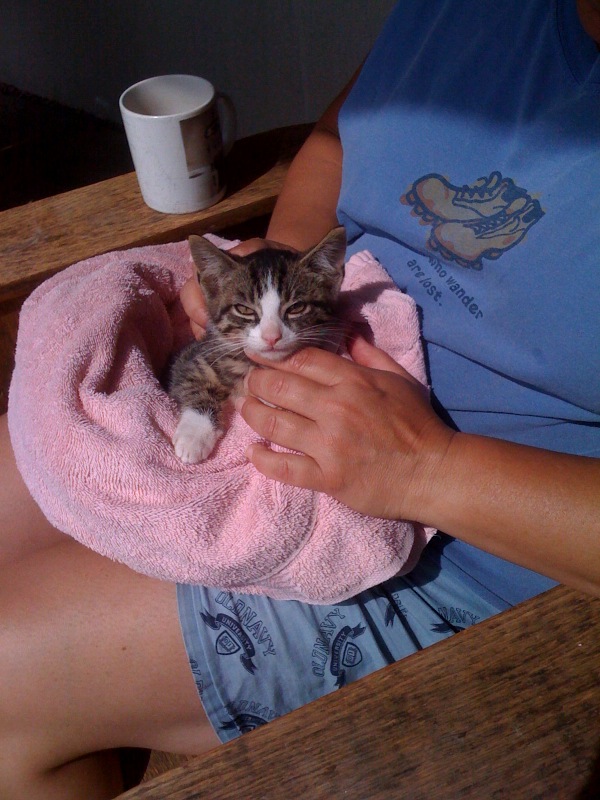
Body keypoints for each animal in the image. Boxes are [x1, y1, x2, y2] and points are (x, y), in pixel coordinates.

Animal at [168, 226, 347, 463]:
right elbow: (192, 382)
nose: (272, 336)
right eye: (244, 309)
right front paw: (194, 436)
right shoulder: (194, 356)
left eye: (297, 307)